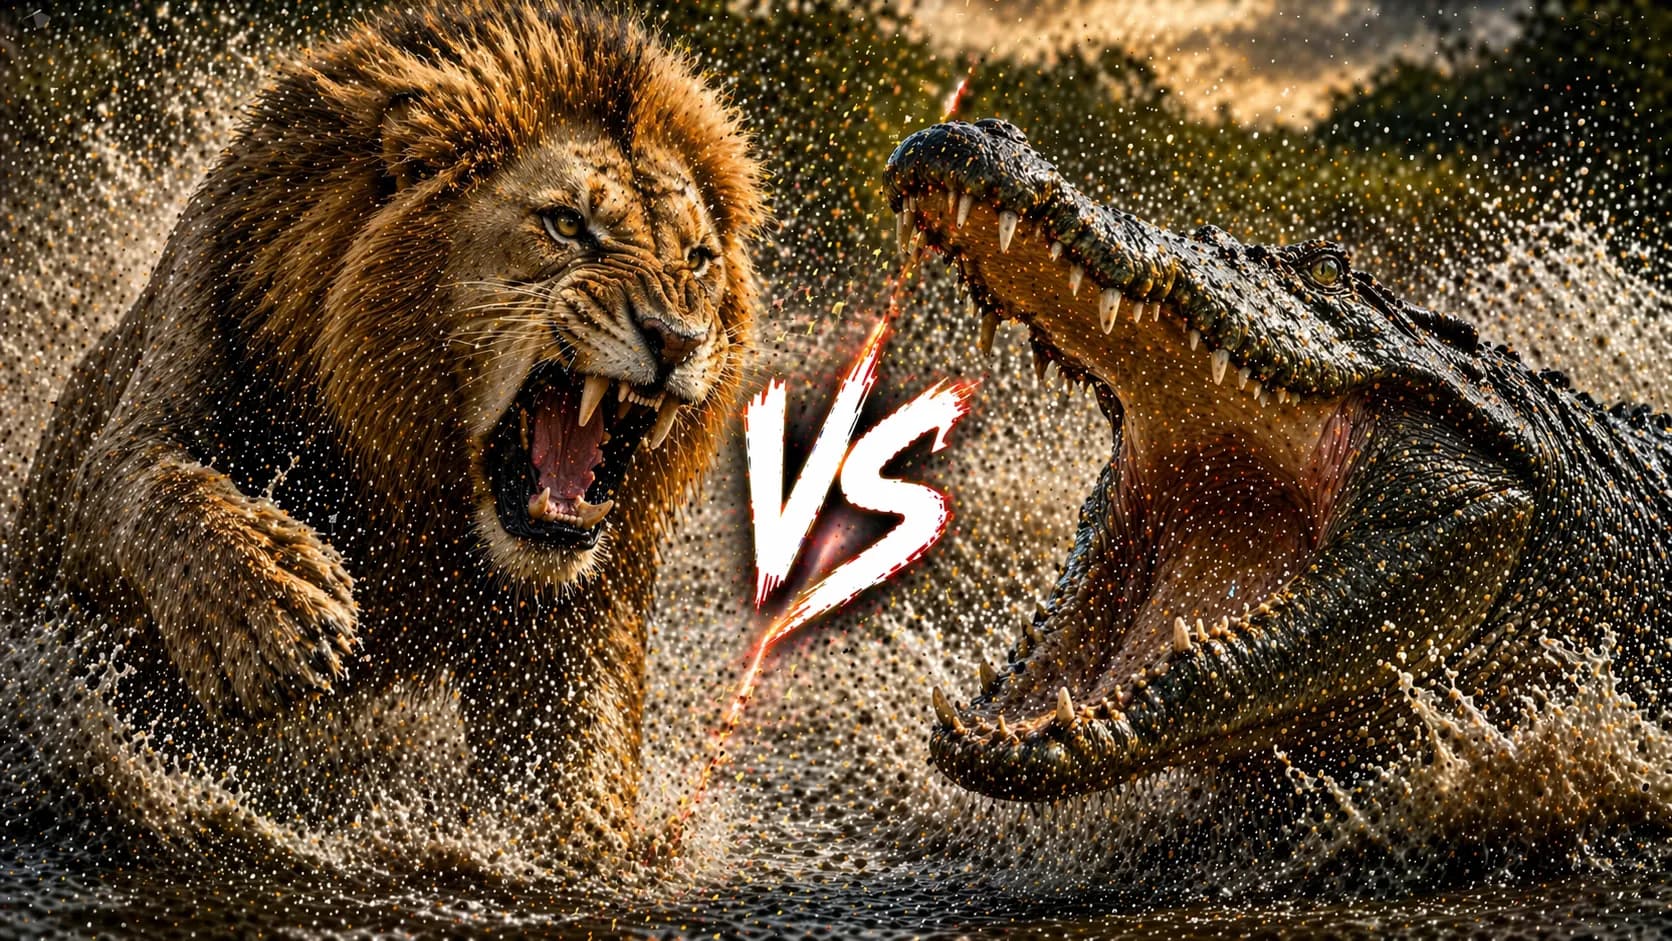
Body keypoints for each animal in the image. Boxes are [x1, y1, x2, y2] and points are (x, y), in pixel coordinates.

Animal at [4, 0, 761, 858]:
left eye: (698, 258)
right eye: (566, 225)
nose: (677, 338)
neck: (411, 481)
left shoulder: (569, 616)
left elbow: (571, 773)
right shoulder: (159, 402)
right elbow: (155, 492)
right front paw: (278, 613)